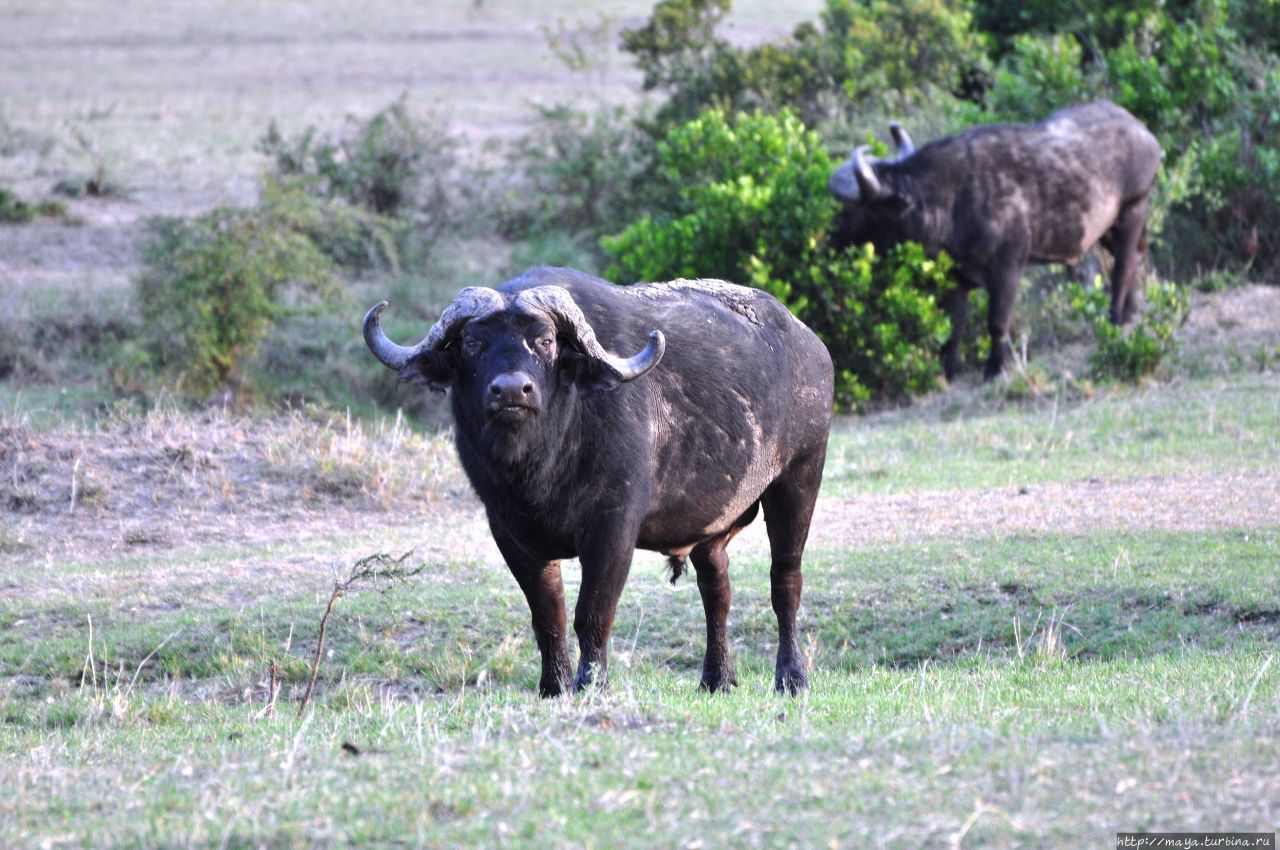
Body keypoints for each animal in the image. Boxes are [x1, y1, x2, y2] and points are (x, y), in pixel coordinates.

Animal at [366, 267, 834, 696]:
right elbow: (548, 616)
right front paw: (552, 686)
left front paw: (591, 684)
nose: (513, 391)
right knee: (716, 590)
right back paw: (717, 679)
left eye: (546, 341)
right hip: (712, 524)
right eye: (471, 343)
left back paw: (791, 678)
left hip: (800, 479)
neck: (541, 469)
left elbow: (592, 612)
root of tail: (811, 345)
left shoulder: (613, 528)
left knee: (785, 581)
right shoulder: (510, 534)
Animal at [824, 99, 1167, 378]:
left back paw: (1115, 319)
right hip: (1108, 228)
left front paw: (995, 368)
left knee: (1123, 266)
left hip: (1133, 209)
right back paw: (1132, 312)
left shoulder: (1007, 267)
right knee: (1132, 260)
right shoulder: (956, 279)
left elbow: (997, 322)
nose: (831, 241)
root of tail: (1142, 131)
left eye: (854, 211)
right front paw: (947, 372)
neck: (952, 200)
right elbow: (953, 328)